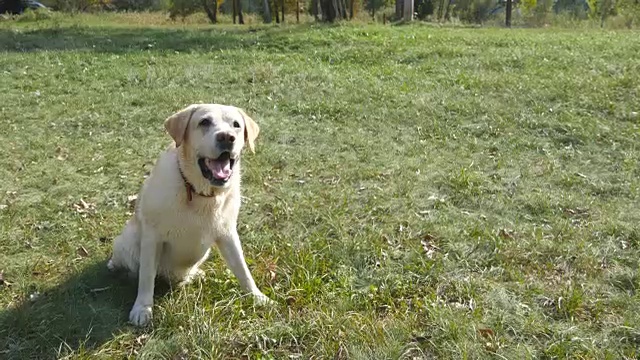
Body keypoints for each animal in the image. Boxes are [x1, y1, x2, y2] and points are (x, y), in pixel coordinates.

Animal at [108, 103, 272, 326]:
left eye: (236, 125)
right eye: (204, 122)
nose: (226, 137)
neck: (200, 194)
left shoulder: (228, 233)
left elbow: (243, 269)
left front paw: (257, 296)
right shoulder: (152, 237)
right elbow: (146, 277)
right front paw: (142, 308)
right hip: (128, 240)